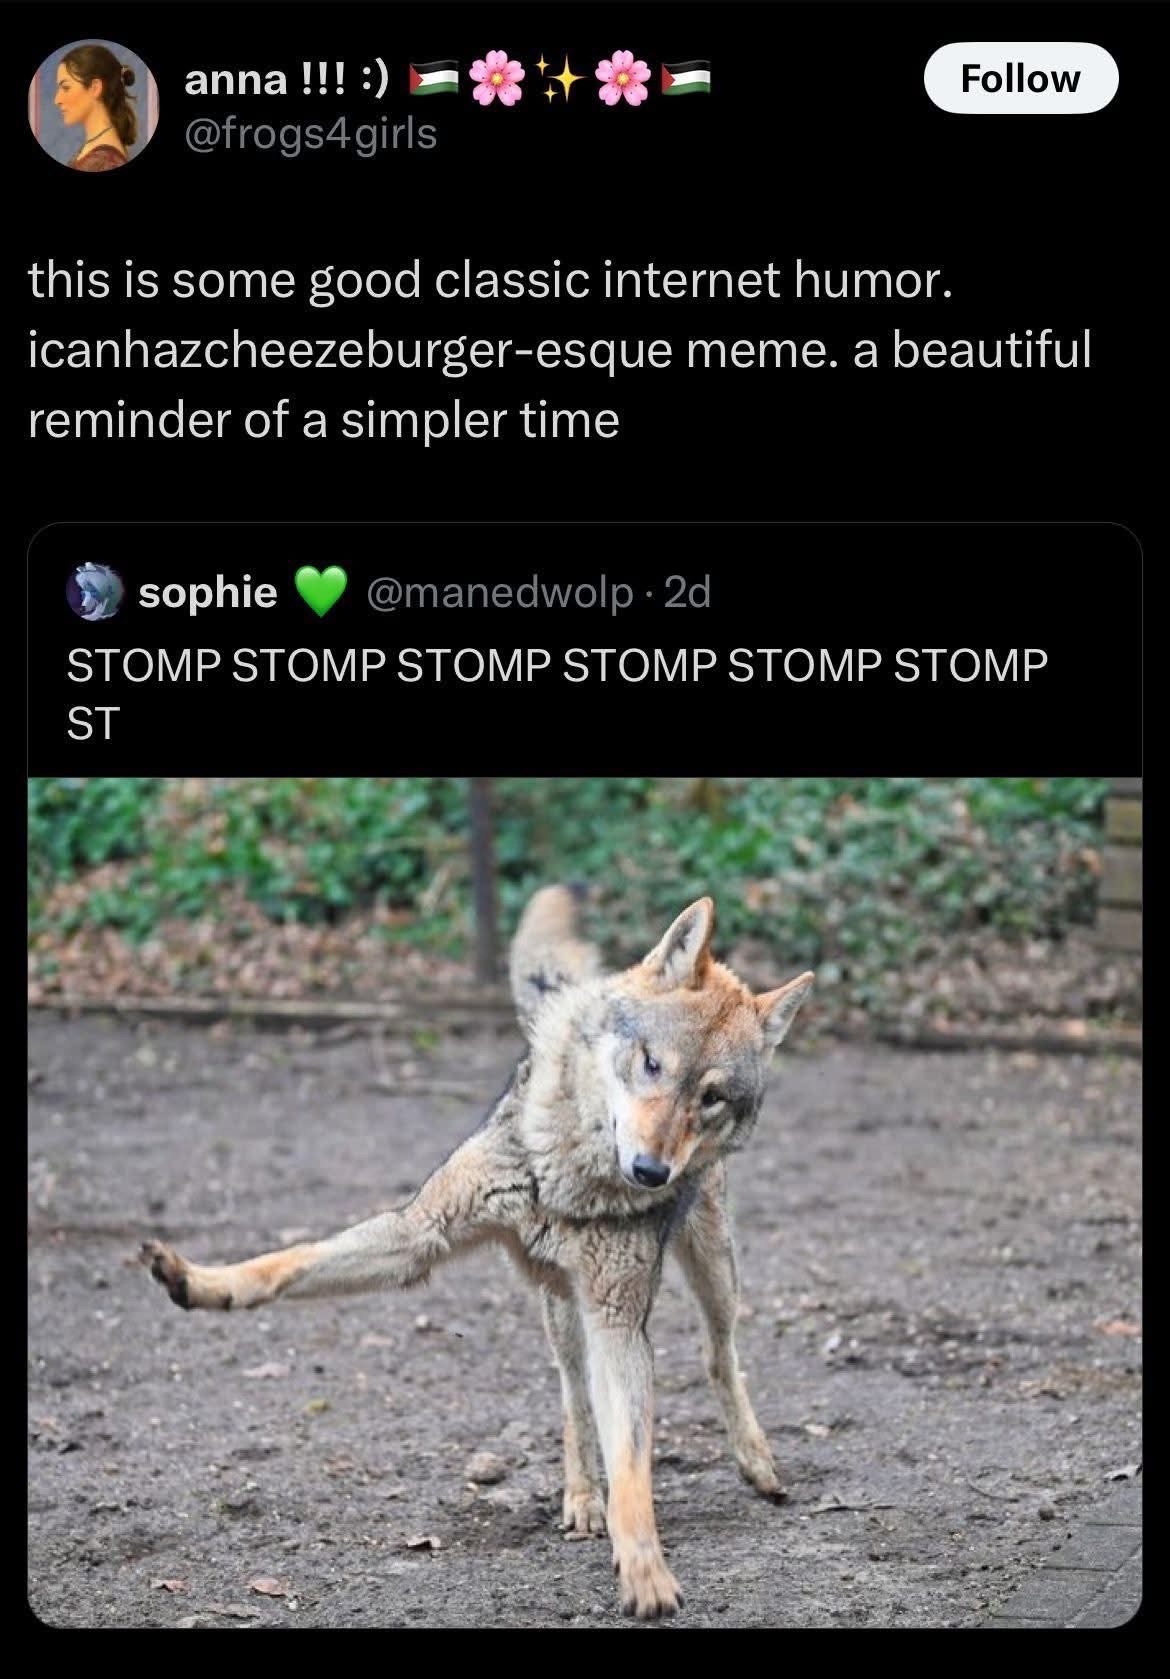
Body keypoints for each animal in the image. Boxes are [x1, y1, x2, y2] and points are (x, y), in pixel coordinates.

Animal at [141, 886, 814, 1619]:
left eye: (711, 1097)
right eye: (652, 1063)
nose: (649, 1171)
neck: (566, 1180)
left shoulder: (616, 1320)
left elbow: (634, 1468)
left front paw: (643, 1566)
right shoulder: (419, 1233)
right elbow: (284, 1263)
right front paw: (200, 1282)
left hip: (708, 1272)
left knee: (718, 1355)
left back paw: (754, 1461)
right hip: (561, 1308)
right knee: (573, 1394)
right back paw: (582, 1497)